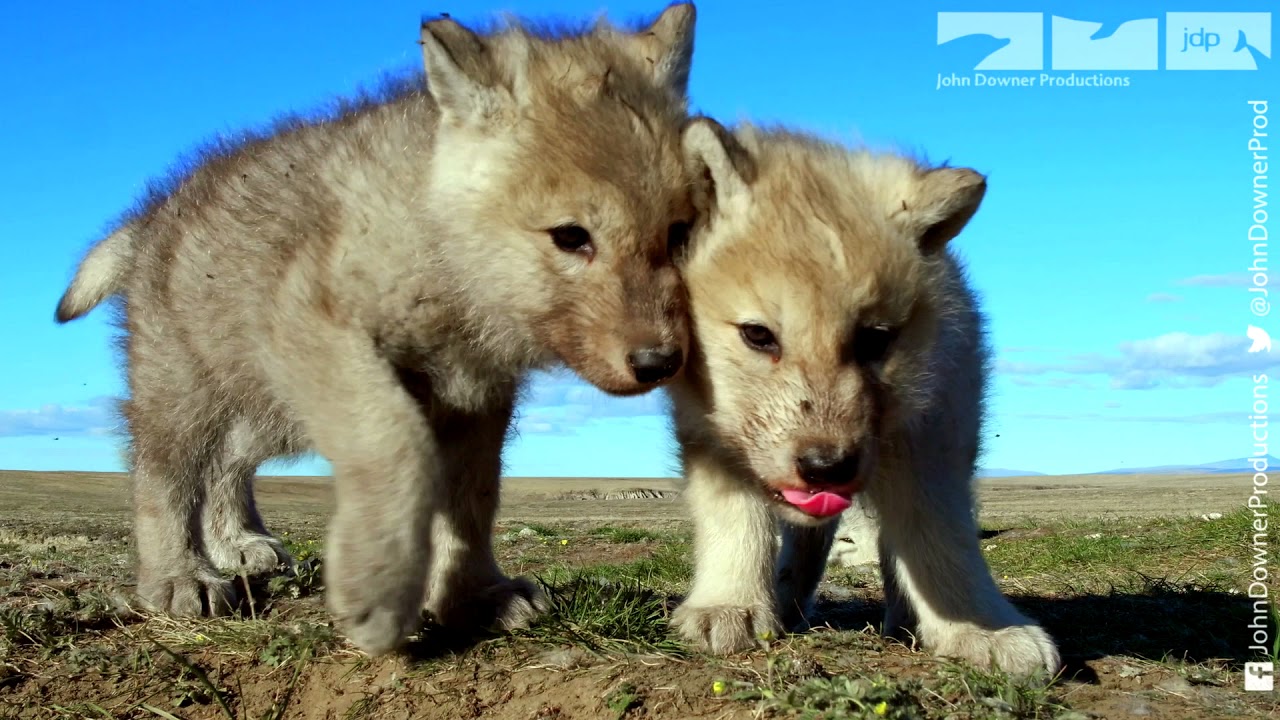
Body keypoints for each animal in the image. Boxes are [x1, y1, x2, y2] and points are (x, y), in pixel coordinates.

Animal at [54, 3, 701, 655]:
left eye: (678, 234)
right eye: (571, 236)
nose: (659, 362)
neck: (444, 254)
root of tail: (149, 218)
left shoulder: (475, 395)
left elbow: (472, 501)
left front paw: (474, 596)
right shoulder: (319, 337)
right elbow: (395, 448)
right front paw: (378, 590)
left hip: (266, 410)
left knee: (227, 463)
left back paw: (239, 543)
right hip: (185, 387)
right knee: (162, 473)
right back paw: (180, 576)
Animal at [666, 120, 1061, 677]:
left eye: (875, 339)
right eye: (758, 335)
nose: (825, 467)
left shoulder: (935, 435)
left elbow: (941, 538)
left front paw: (977, 626)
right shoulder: (711, 433)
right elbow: (735, 518)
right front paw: (731, 604)